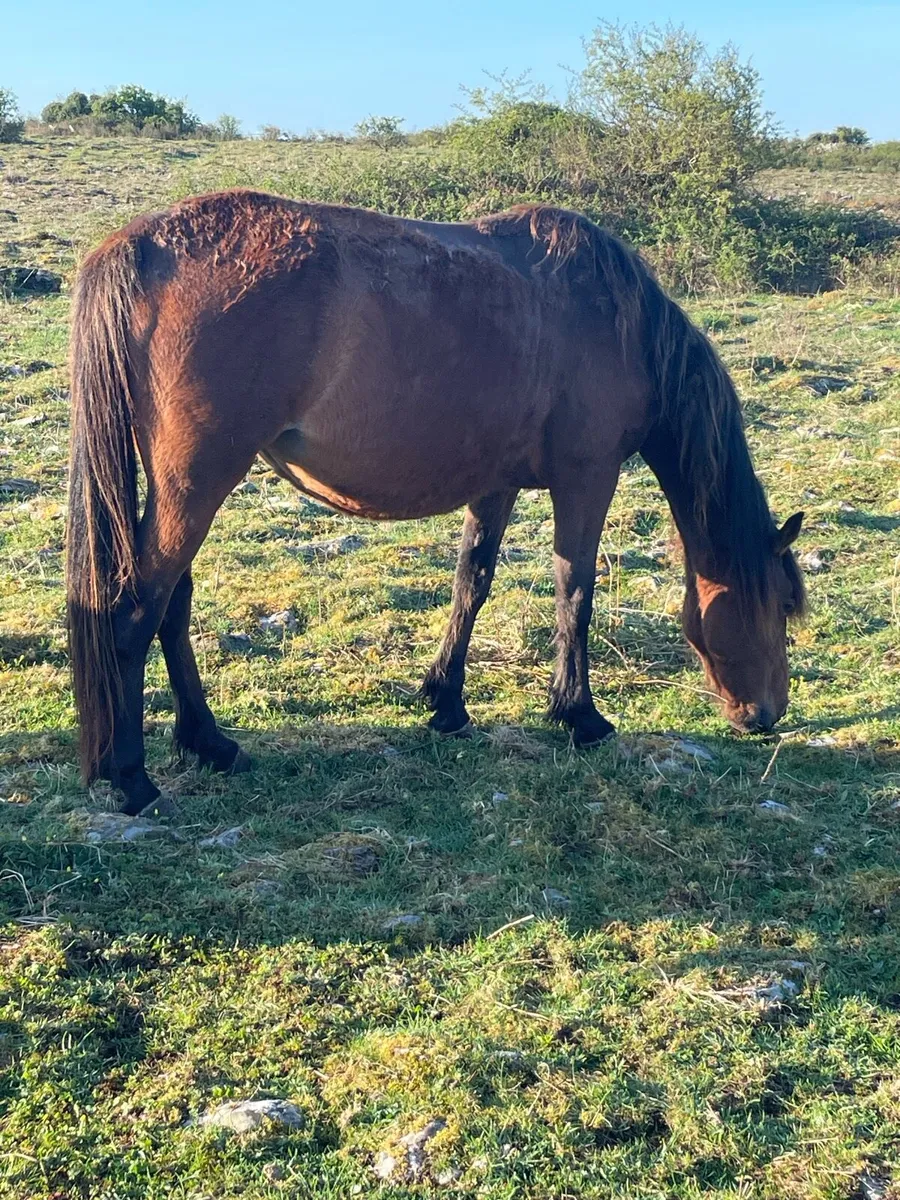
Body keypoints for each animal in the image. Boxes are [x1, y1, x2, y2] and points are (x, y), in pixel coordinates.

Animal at [65, 191, 806, 816]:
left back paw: (211, 743)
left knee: (172, 604)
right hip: (198, 483)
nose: (767, 714)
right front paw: (579, 716)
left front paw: (446, 702)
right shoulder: (586, 477)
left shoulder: (496, 482)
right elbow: (575, 591)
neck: (616, 320)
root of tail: (139, 246)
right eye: (776, 608)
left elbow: (471, 582)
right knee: (135, 609)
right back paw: (133, 779)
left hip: (184, 490)